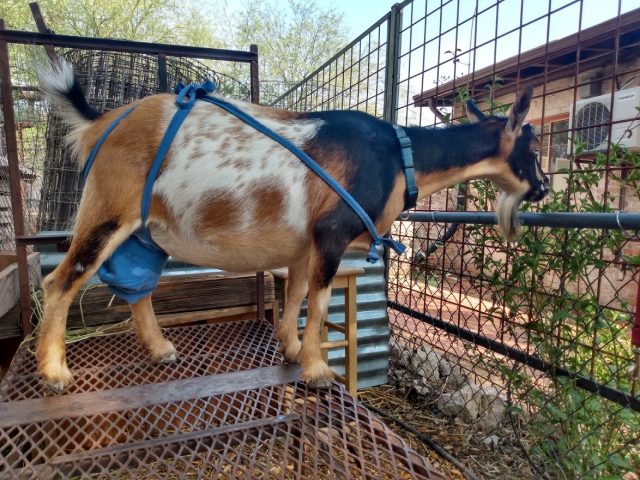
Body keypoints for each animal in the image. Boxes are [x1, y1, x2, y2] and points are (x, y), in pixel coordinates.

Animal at [35, 61, 548, 390]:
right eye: (533, 145)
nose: (543, 188)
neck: (398, 157)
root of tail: (100, 121)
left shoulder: (306, 245)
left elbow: (298, 296)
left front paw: (290, 348)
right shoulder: (332, 234)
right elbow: (319, 304)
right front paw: (317, 370)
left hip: (146, 230)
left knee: (137, 287)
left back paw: (160, 349)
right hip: (109, 208)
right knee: (60, 281)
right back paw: (56, 373)